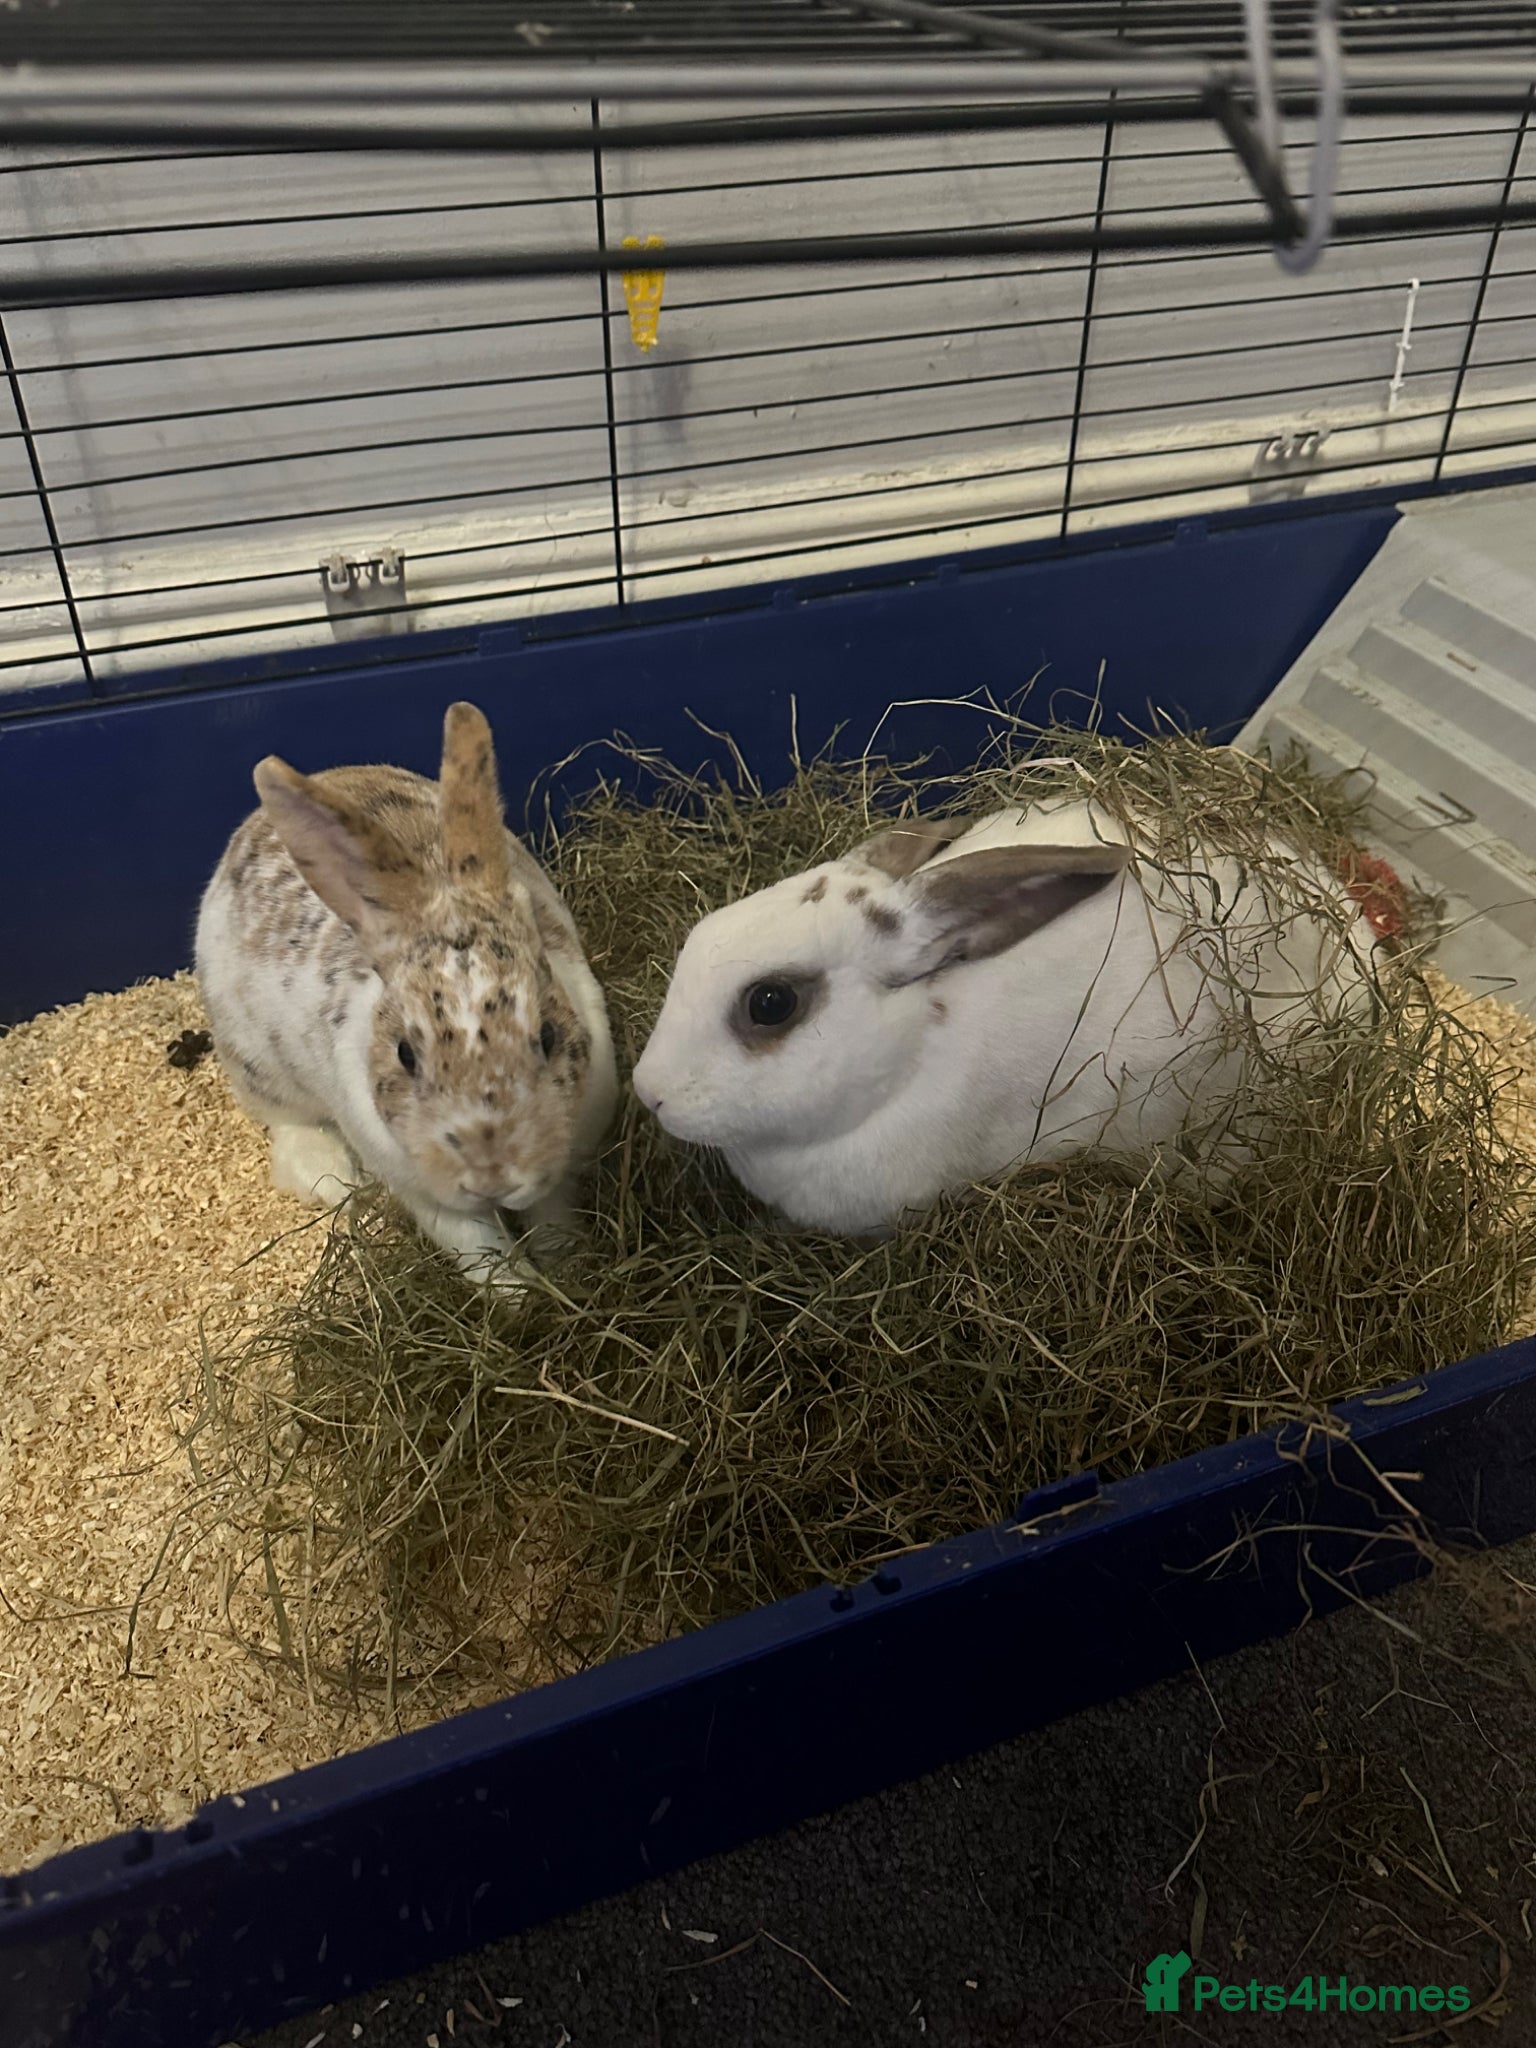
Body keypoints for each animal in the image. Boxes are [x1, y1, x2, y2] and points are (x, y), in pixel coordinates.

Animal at [194, 701, 619, 1287]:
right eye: (405, 1054)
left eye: (548, 1036)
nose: (490, 1177)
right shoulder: (428, 1197)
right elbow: (481, 1253)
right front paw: (526, 1297)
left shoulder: (562, 1170)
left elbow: (553, 1220)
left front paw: (568, 1274)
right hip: (255, 1063)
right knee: (285, 1121)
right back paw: (329, 1176)